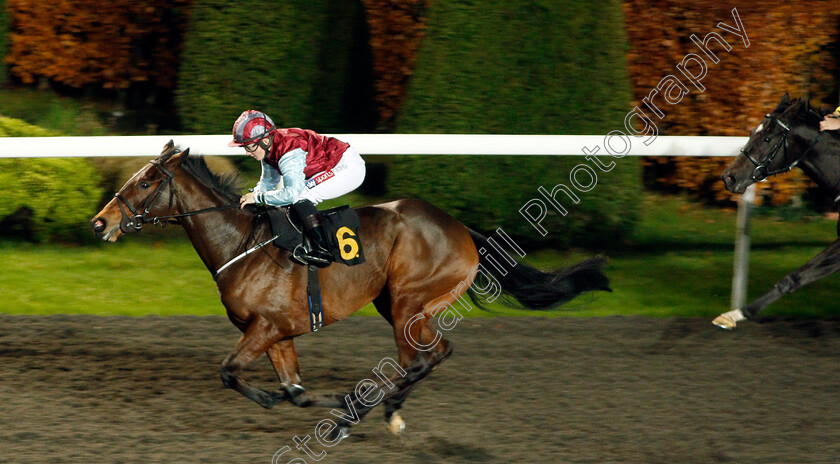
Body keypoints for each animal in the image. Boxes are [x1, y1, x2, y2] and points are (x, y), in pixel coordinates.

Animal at [90, 143, 612, 440]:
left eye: (147, 181)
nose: (100, 222)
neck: (242, 244)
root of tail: (461, 228)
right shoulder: (280, 334)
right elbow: (296, 392)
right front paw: (335, 406)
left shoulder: (264, 328)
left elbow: (228, 372)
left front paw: (334, 410)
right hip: (397, 303)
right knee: (434, 353)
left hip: (407, 303)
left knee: (420, 359)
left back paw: (388, 411)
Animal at [716, 92, 840, 328]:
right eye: (751, 132)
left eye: (767, 138)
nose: (729, 177)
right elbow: (795, 278)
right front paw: (736, 313)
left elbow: (797, 276)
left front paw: (739, 312)